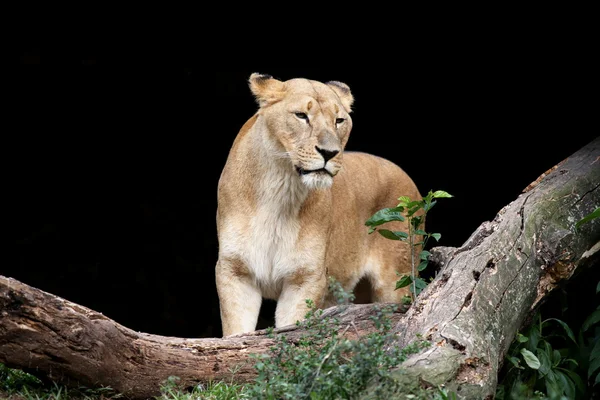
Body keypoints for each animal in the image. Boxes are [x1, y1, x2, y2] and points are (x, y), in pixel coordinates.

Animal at [216, 73, 422, 336]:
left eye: (339, 120)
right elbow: (236, 333)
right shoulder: (234, 271)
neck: (279, 190)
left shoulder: (306, 279)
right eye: (301, 115)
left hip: (396, 280)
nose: (329, 152)